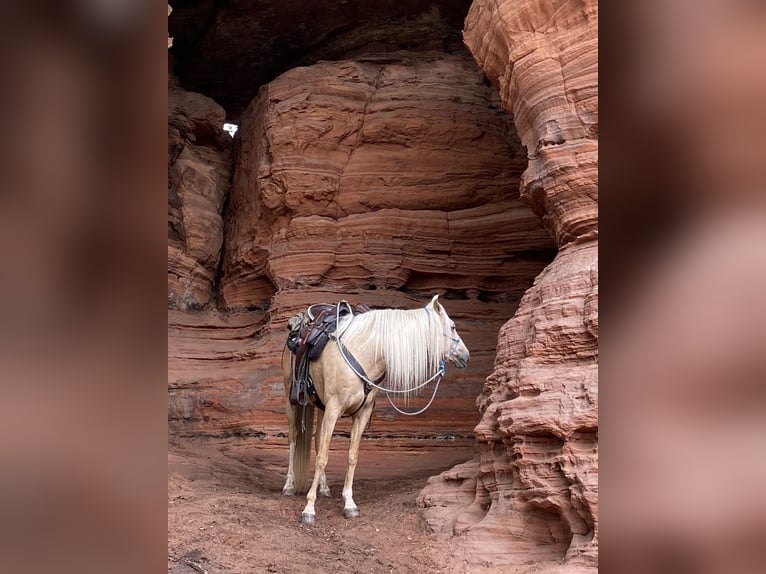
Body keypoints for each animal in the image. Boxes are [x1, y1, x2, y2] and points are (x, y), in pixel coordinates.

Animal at [282, 296, 474, 528]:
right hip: (293, 400)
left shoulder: (361, 413)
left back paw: (325, 488)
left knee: (319, 440)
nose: (466, 355)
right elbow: (322, 458)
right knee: (294, 438)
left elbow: (351, 456)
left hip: (320, 406)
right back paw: (289, 485)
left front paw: (349, 503)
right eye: (452, 327)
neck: (363, 353)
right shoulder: (334, 408)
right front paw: (309, 508)